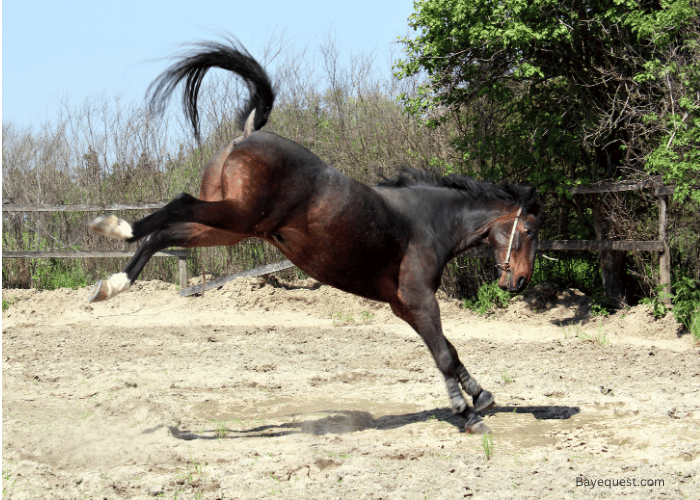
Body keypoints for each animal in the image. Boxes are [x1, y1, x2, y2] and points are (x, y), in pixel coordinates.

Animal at [87, 38, 544, 434]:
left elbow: (447, 350)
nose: (520, 281)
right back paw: (115, 229)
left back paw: (112, 284)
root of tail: (249, 133)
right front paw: (468, 414)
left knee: (163, 236)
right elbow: (445, 353)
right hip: (236, 215)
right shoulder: (419, 300)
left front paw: (479, 396)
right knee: (174, 208)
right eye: (528, 231)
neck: (426, 221)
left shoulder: (405, 307)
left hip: (228, 227)